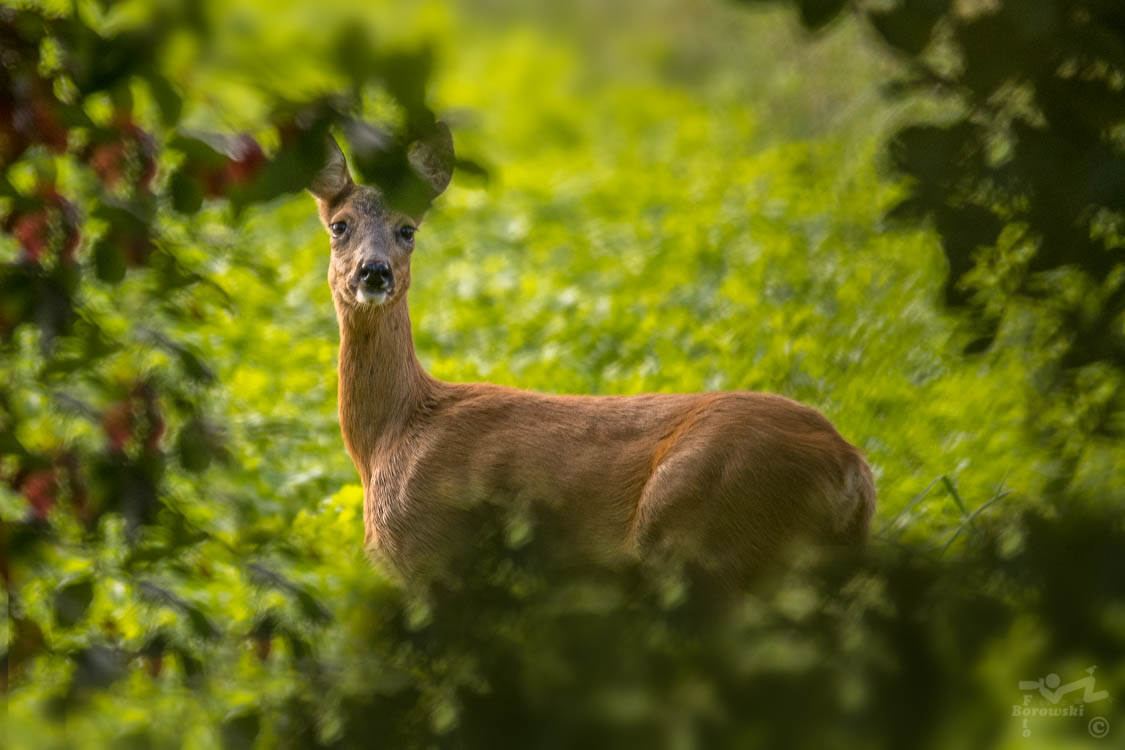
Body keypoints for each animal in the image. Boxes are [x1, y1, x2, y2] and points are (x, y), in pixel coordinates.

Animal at [310, 125, 877, 584]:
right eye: (340, 225)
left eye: (408, 229)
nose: (374, 271)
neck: (392, 433)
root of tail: (852, 468)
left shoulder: (429, 548)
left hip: (709, 531)